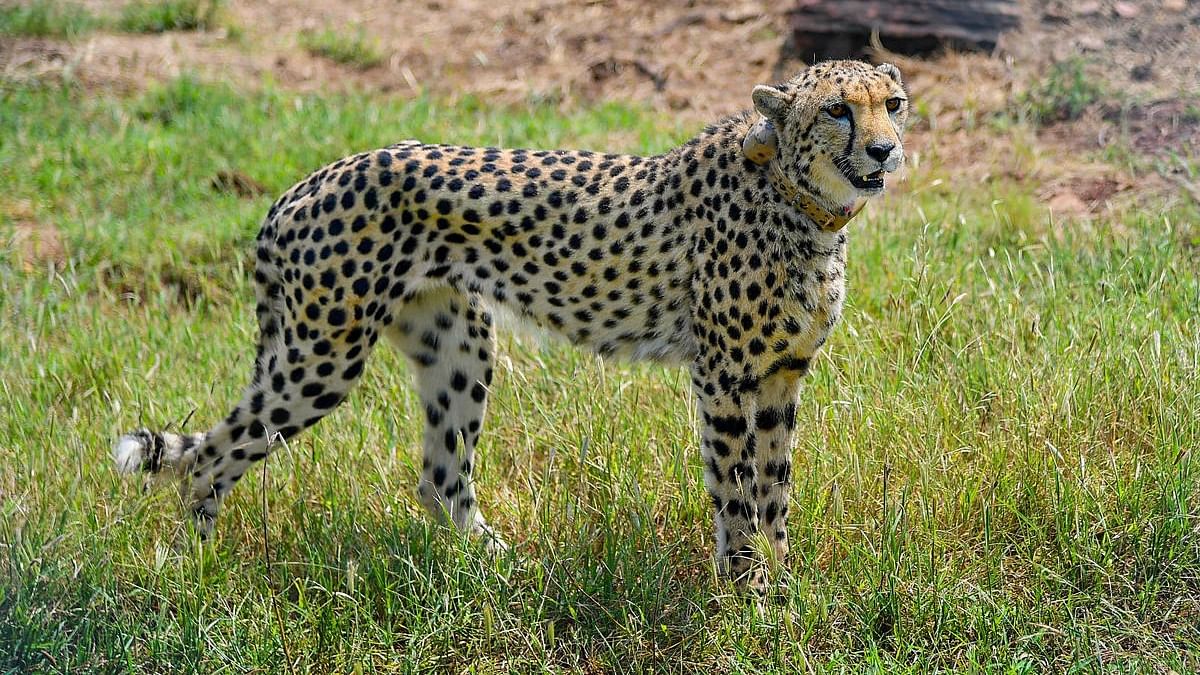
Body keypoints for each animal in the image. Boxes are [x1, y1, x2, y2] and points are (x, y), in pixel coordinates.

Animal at [114, 60, 907, 590]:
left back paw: (502, 568)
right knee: (214, 455)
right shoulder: (724, 377)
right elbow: (737, 491)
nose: (884, 149)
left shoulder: (780, 375)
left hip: (457, 344)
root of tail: (304, 184)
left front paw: (784, 579)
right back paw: (195, 569)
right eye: (838, 110)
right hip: (322, 356)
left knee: (440, 477)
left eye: (893, 103)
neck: (801, 201)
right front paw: (750, 592)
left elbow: (775, 488)